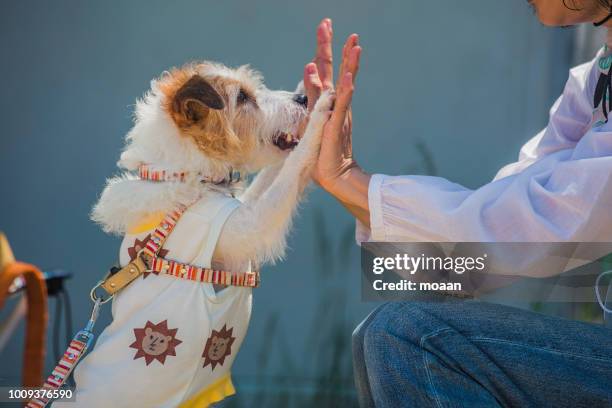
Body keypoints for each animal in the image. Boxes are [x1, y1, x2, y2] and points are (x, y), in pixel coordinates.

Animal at [53, 61, 334, 408]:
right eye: (242, 97)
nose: (302, 99)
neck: (189, 176)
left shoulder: (242, 214)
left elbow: (271, 175)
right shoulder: (250, 227)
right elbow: (292, 168)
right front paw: (322, 111)